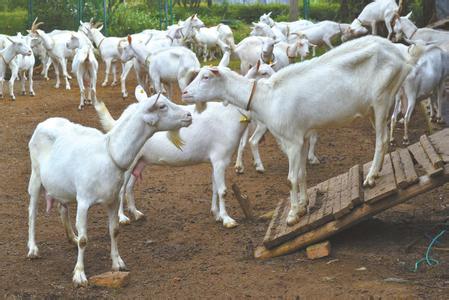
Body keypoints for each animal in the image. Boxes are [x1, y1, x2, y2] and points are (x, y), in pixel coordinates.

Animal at [26, 85, 191, 288]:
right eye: (162, 106)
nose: (189, 115)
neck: (109, 152)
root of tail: (44, 122)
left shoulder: (113, 199)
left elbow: (114, 230)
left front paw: (118, 262)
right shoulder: (84, 201)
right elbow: (84, 240)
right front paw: (79, 274)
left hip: (61, 185)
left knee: (62, 208)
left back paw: (71, 236)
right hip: (35, 176)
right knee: (32, 212)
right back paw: (33, 249)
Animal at [181, 35, 424, 225]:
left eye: (206, 77)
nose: (184, 93)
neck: (267, 98)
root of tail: (403, 55)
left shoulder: (292, 140)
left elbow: (291, 179)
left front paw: (292, 215)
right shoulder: (303, 136)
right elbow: (302, 173)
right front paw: (304, 204)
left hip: (382, 99)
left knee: (381, 140)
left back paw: (371, 177)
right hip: (374, 108)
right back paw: (378, 172)